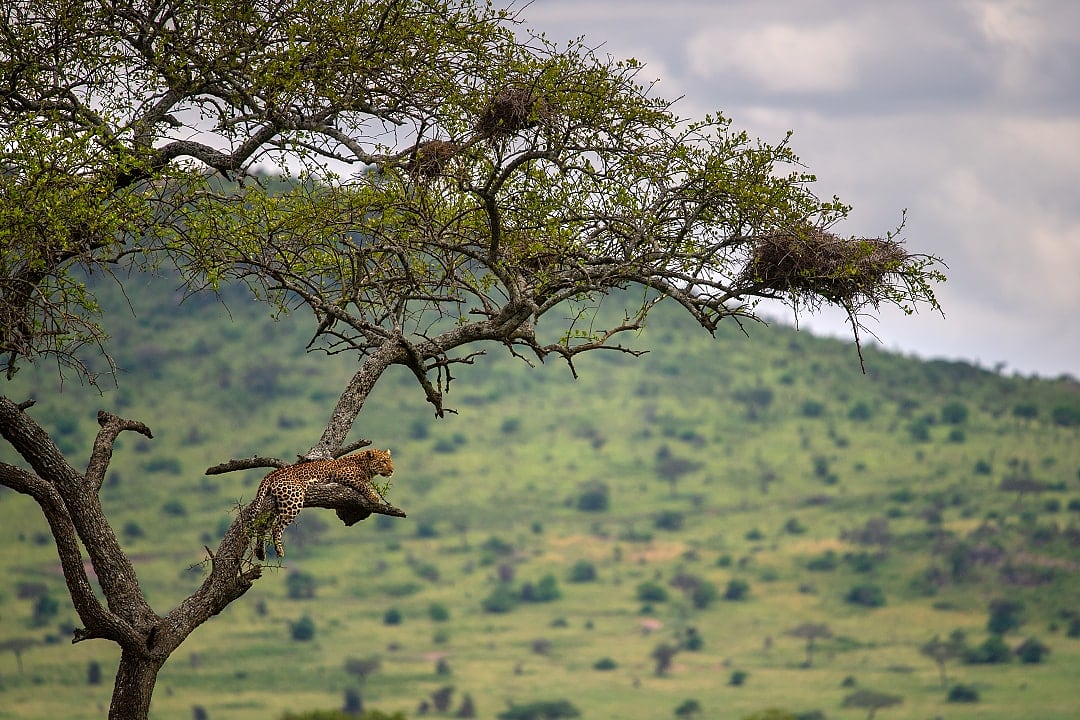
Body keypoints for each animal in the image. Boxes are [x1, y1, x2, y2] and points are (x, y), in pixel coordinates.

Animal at [250, 449, 394, 560]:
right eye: (383, 461)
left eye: (390, 461)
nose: (392, 470)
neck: (365, 466)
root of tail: (272, 474)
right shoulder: (343, 474)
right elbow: (363, 484)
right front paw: (374, 497)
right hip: (294, 499)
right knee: (276, 526)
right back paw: (279, 550)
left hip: (275, 505)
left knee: (262, 526)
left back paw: (260, 553)